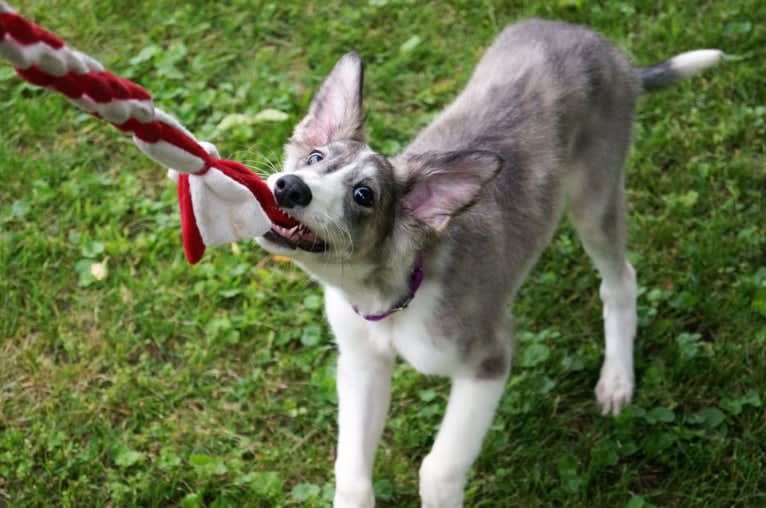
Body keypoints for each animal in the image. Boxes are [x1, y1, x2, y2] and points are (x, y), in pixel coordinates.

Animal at [255, 17, 724, 506]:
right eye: (315, 157)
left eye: (364, 195)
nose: (289, 186)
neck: (393, 293)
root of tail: (609, 51)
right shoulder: (362, 361)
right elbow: (351, 474)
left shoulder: (489, 358)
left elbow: (438, 469)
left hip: (596, 198)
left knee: (621, 280)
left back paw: (616, 379)